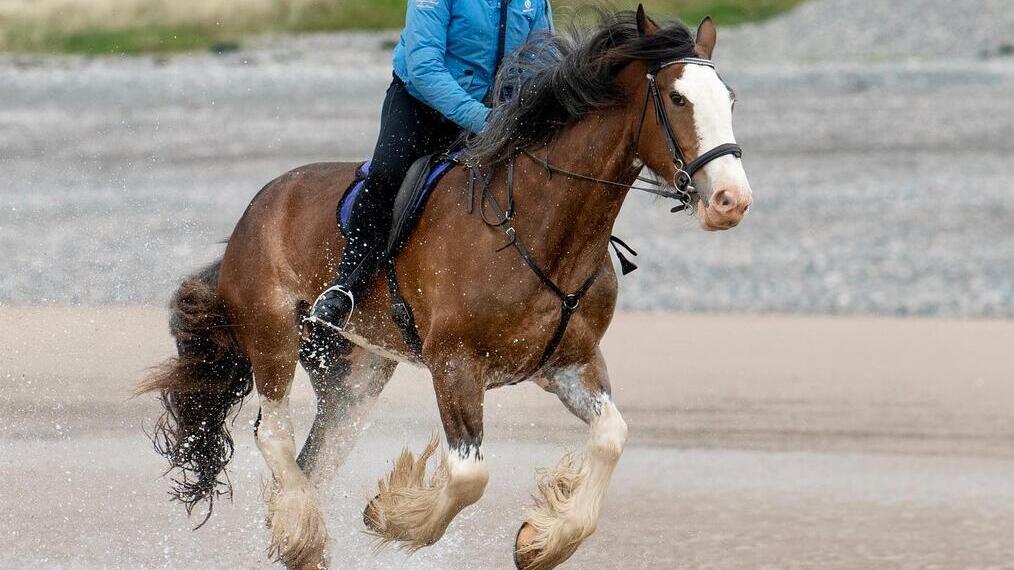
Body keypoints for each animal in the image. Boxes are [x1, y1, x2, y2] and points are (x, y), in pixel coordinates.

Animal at [138, 6, 752, 570]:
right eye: (677, 98)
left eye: (729, 99)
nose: (731, 201)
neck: (537, 224)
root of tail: (252, 214)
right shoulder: (454, 364)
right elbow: (468, 475)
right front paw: (394, 517)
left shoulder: (570, 362)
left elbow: (611, 436)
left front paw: (541, 540)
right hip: (273, 337)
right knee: (275, 435)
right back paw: (301, 532)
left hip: (356, 373)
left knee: (319, 456)